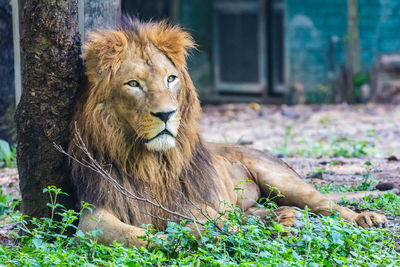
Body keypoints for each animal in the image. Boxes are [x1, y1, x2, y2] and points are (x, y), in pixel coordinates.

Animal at [69, 18, 388, 248]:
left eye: (170, 79)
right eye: (133, 84)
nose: (167, 114)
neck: (149, 162)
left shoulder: (193, 201)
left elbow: (205, 221)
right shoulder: (96, 208)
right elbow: (134, 234)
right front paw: (179, 237)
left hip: (280, 179)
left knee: (325, 205)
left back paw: (366, 217)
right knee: (250, 213)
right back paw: (277, 218)